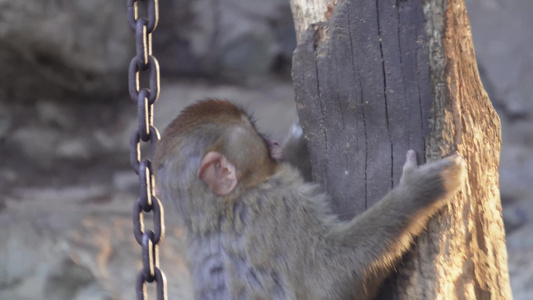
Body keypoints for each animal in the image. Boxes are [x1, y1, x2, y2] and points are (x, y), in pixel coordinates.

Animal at [153, 99, 462, 298]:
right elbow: (331, 280)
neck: (217, 209)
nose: (274, 142)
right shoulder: (279, 211)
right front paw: (419, 189)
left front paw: (297, 139)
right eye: (257, 134)